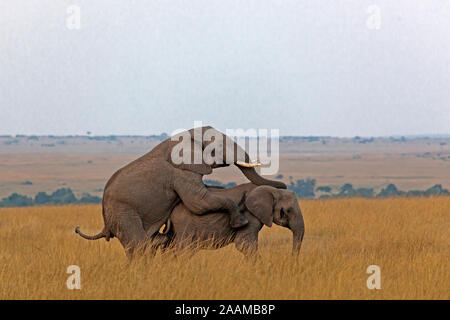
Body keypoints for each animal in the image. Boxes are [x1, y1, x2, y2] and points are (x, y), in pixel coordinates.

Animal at [74, 125, 284, 258]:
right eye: (219, 147)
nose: (284, 186)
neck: (189, 134)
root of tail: (105, 224)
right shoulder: (181, 171)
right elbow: (198, 202)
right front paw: (241, 221)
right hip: (123, 214)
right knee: (139, 246)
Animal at [155, 182, 306, 258]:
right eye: (287, 211)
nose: (291, 259)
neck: (273, 190)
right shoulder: (249, 216)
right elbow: (245, 245)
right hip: (184, 224)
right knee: (184, 249)